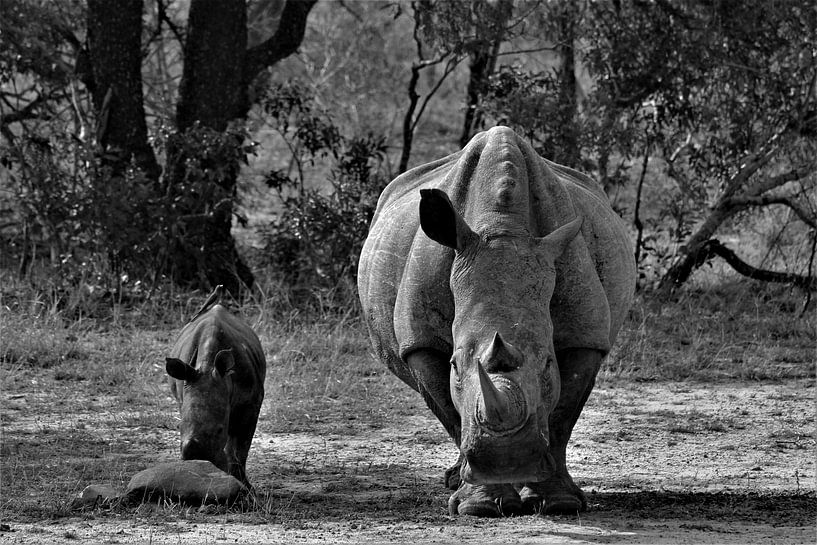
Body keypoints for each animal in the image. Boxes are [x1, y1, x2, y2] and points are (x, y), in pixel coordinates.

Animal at [165, 286, 266, 489]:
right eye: (179, 427)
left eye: (220, 430)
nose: (197, 460)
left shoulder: (252, 403)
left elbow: (241, 448)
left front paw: (245, 487)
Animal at [358, 126, 635, 517]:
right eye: (454, 365)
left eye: (548, 364)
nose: (509, 461)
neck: (504, 229)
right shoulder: (420, 340)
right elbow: (452, 413)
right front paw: (481, 506)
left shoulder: (585, 334)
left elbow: (563, 416)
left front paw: (559, 503)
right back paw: (456, 481)